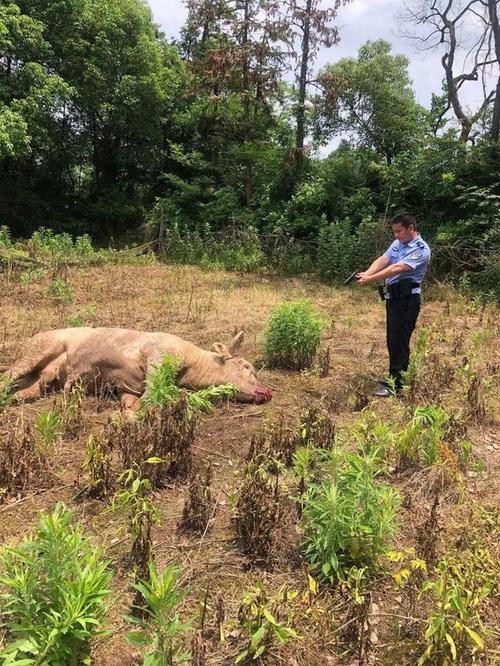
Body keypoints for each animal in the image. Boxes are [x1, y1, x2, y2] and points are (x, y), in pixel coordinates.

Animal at [0, 326, 274, 418]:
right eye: (247, 367)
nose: (268, 391)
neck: (189, 370)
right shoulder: (157, 357)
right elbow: (152, 397)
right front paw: (122, 417)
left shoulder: (129, 387)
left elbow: (133, 402)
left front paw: (125, 412)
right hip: (37, 350)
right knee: (6, 378)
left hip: (40, 381)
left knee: (24, 392)